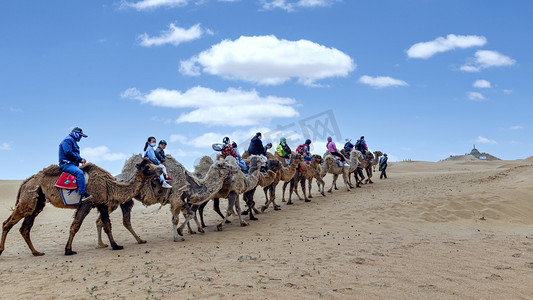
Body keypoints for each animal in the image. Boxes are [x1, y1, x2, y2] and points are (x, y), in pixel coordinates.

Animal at [0, 158, 162, 256]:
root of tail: (24, 183)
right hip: (28, 199)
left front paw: (115, 245)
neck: (109, 185)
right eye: (147, 166)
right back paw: (2, 251)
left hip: (37, 202)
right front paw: (68, 250)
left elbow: (107, 225)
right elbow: (75, 226)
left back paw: (36, 252)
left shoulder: (102, 204)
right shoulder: (87, 203)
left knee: (25, 228)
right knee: (7, 223)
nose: (160, 169)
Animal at [95, 155, 233, 246]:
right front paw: (178, 236)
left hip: (123, 201)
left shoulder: (182, 200)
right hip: (116, 200)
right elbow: (176, 219)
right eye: (224, 165)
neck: (190, 183)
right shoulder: (176, 199)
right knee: (111, 221)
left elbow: (189, 214)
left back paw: (107, 243)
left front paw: (188, 231)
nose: (234, 167)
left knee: (107, 221)